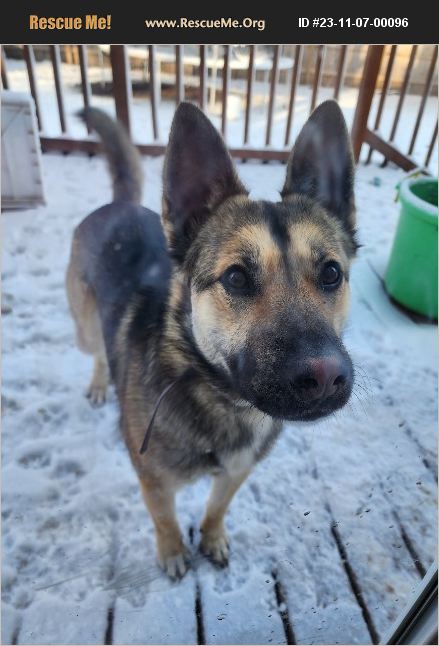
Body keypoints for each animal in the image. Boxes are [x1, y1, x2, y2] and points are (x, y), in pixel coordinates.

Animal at [66, 100, 357, 579]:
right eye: (236, 278)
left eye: (331, 273)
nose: (325, 376)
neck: (223, 398)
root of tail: (121, 205)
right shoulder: (153, 479)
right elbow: (164, 519)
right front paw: (172, 551)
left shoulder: (238, 470)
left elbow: (217, 507)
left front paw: (212, 538)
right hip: (85, 328)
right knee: (95, 352)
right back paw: (96, 383)